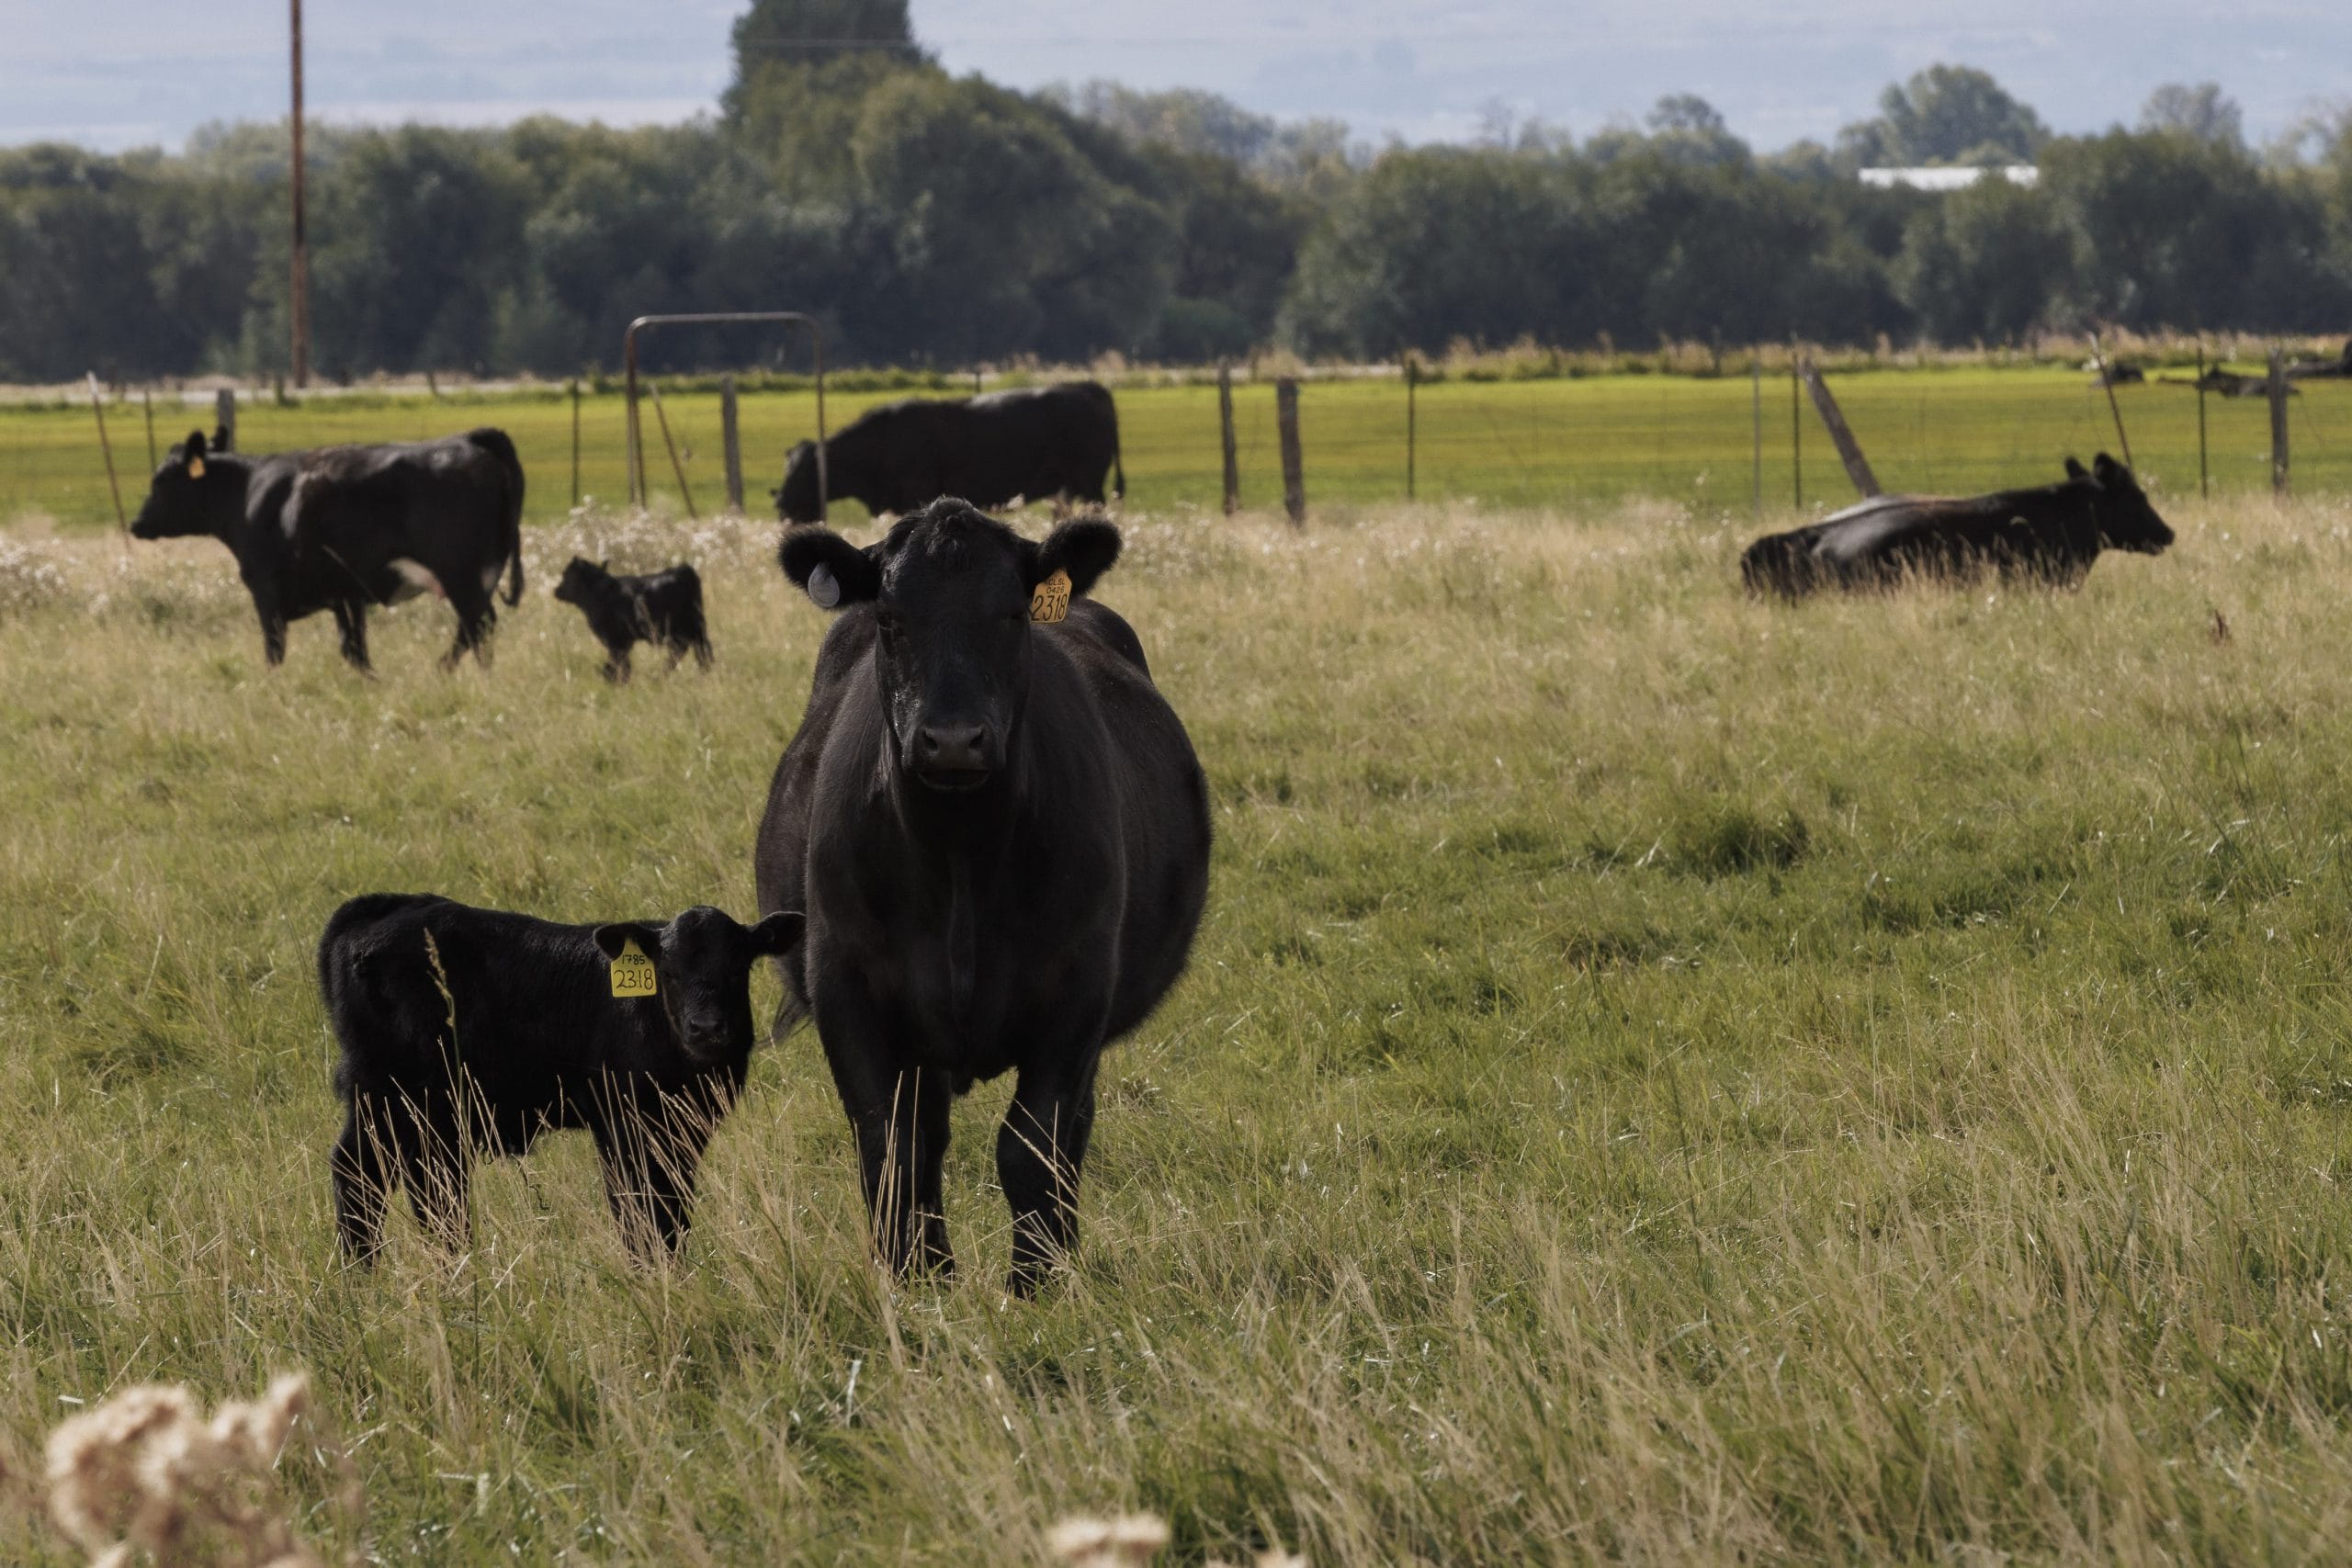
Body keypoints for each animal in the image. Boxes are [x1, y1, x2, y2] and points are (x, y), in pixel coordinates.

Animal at [130, 427, 525, 671]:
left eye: (160, 479)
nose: (137, 523)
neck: (247, 493)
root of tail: (470, 440)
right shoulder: (344, 594)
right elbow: (354, 650)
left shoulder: (266, 591)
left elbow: (274, 651)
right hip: (482, 576)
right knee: (472, 629)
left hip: (461, 576)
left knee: (478, 626)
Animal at [318, 893, 801, 1263]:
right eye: (668, 973)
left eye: (738, 967)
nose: (706, 1028)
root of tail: (382, 907)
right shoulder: (622, 1123)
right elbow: (639, 1208)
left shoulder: (684, 1128)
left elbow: (672, 1205)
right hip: (386, 1095)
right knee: (361, 1175)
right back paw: (367, 1276)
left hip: (425, 1112)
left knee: (428, 1184)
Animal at [552, 557, 713, 683]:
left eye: (567, 575)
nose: (556, 590)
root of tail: (682, 570)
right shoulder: (624, 642)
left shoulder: (617, 641)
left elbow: (618, 664)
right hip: (694, 628)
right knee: (699, 651)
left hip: (680, 629)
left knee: (684, 650)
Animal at [754, 499, 1210, 1295]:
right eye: (891, 618)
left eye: (1012, 614)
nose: (953, 740)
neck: (959, 857)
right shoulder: (844, 983)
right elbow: (891, 1148)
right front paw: (909, 1284)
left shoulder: (1078, 989)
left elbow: (1031, 1146)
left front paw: (1036, 1285)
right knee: (928, 1134)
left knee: (1069, 1130)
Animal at [774, 382, 1125, 524]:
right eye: (787, 466)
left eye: (803, 472)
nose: (780, 504)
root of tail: (1086, 387)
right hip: (1067, 487)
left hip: (1089, 481)